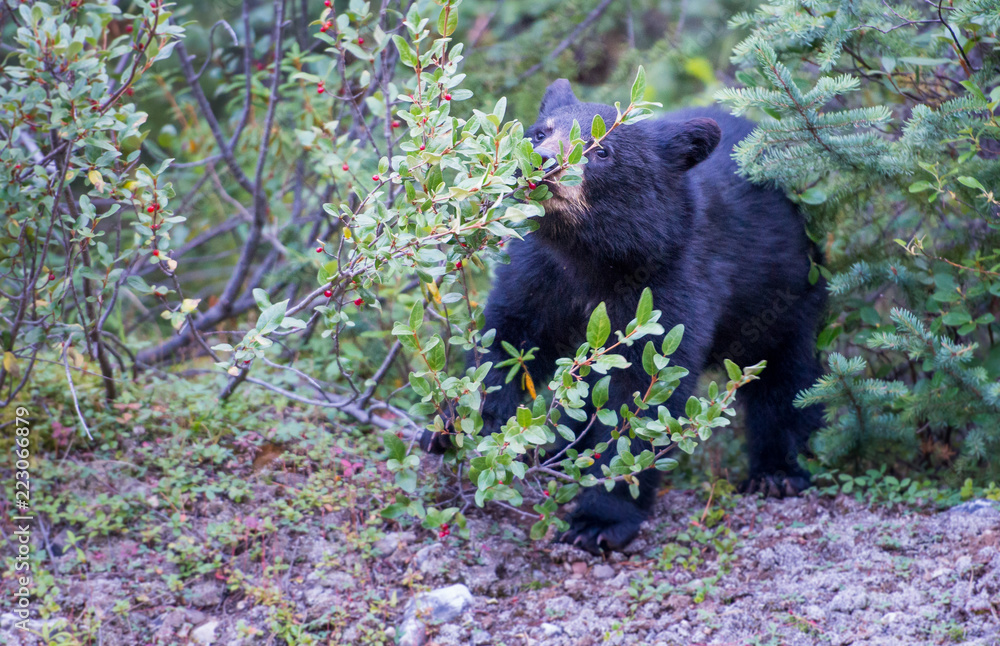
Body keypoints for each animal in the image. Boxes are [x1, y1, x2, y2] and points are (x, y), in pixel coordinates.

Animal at [422, 79, 826, 555]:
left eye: (602, 150)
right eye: (540, 133)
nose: (542, 163)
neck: (593, 255)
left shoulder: (672, 279)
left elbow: (643, 390)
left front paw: (599, 520)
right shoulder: (538, 270)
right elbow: (508, 339)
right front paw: (456, 428)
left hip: (784, 289)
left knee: (787, 377)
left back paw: (777, 473)